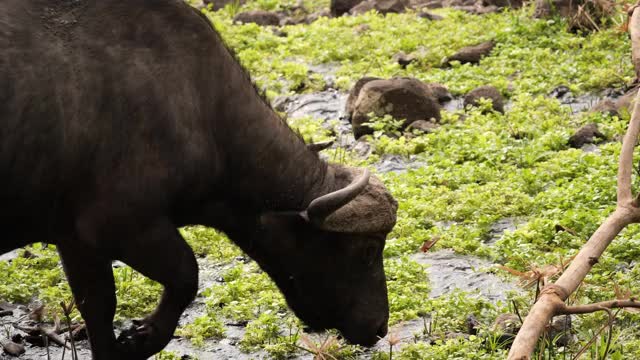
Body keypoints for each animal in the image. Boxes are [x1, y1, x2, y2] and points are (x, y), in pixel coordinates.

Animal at [0, 1, 398, 358]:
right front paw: (144, 338)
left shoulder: (76, 240)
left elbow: (98, 309)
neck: (199, 106)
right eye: (367, 250)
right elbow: (186, 274)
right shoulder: (122, 225)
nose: (379, 326)